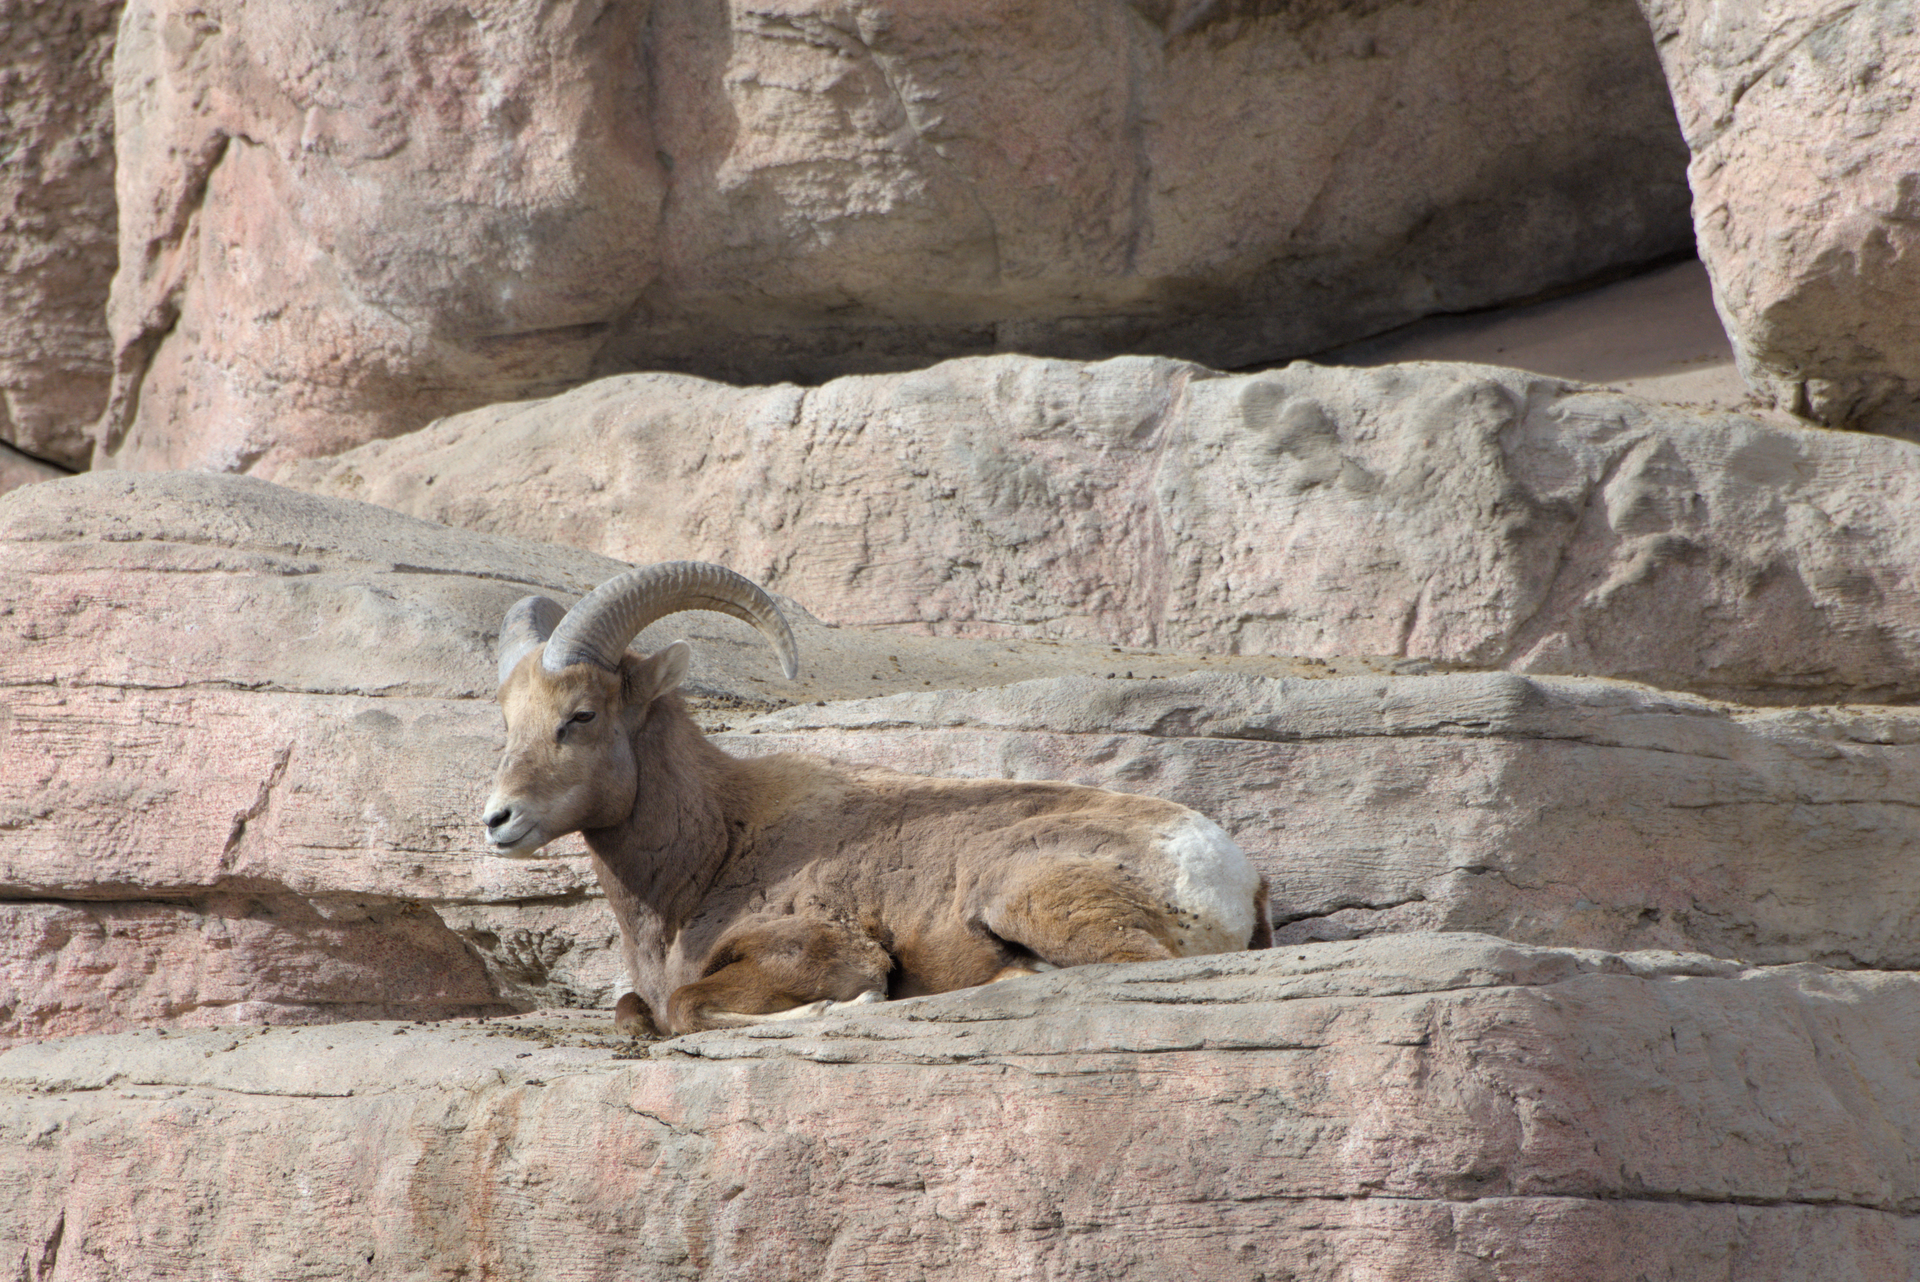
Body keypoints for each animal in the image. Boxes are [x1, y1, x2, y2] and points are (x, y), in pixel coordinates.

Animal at [482, 561, 1272, 1036]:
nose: (499, 821)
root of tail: (1229, 872)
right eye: (509, 721)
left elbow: (684, 1008)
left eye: (581, 715)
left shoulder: (824, 950)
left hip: (1027, 895)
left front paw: (847, 1006)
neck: (711, 851)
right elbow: (636, 1011)